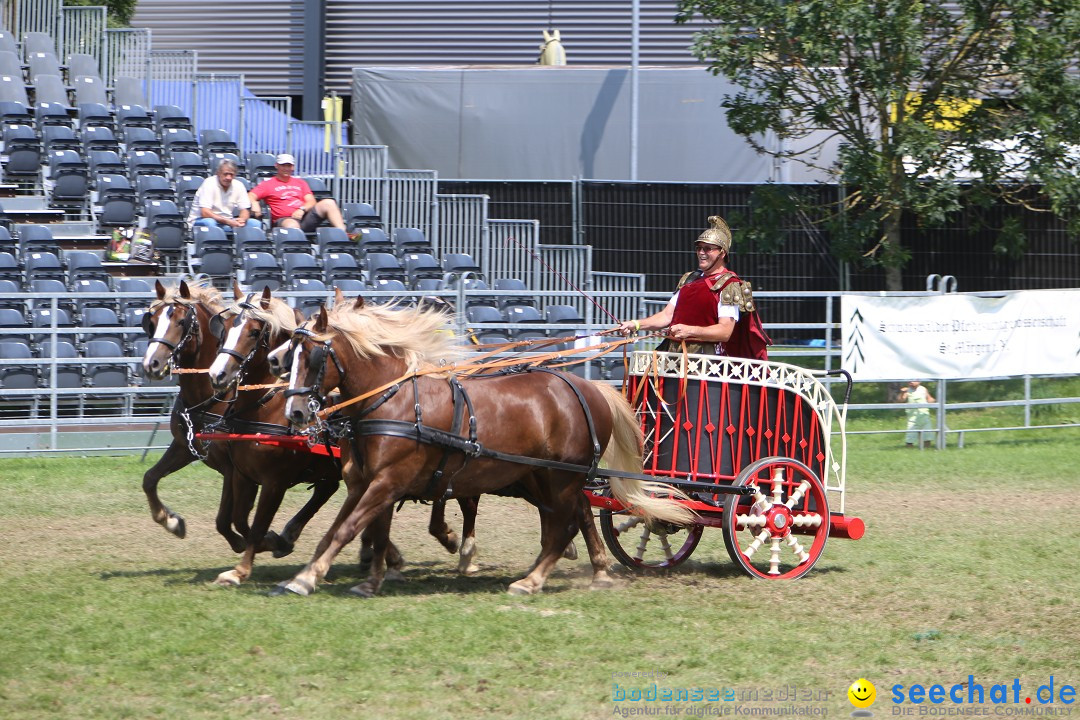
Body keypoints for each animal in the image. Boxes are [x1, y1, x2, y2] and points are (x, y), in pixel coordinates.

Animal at [270, 293, 691, 595]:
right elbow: (358, 529)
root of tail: (589, 388)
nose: (295, 412)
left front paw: (306, 578)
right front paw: (368, 580)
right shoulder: (368, 483)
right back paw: (593, 572)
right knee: (575, 517)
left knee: (566, 525)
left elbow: (348, 528)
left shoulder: (387, 482)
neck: (392, 399)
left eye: (312, 357)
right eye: (287, 355)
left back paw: (532, 580)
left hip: (561, 476)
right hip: (545, 475)